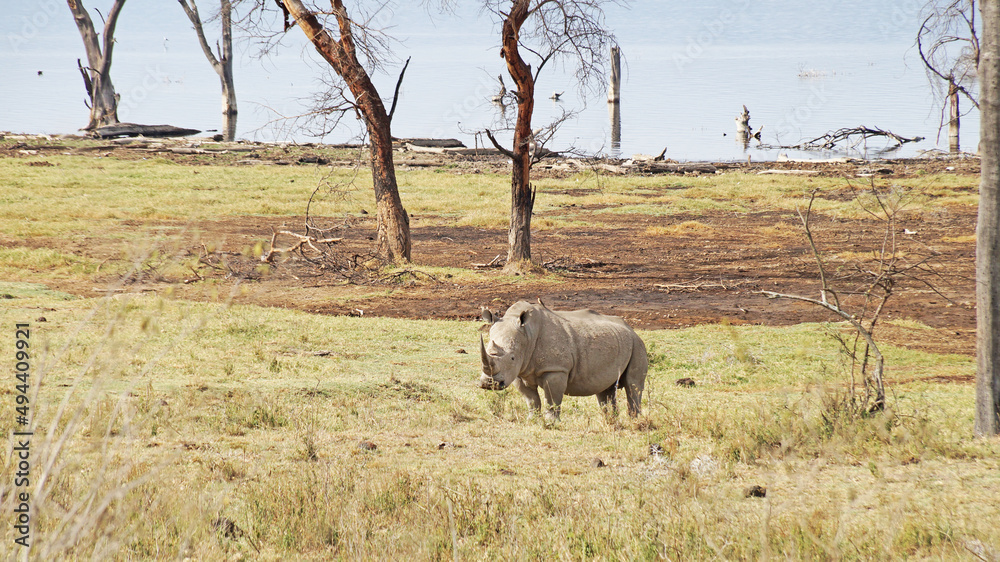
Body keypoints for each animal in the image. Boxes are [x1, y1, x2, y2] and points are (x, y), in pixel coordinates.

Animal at [478, 300, 648, 420]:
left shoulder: (555, 369)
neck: (527, 334)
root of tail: (630, 328)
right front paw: (532, 419)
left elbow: (552, 398)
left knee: (633, 385)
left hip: (637, 344)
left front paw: (550, 422)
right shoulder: (520, 372)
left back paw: (634, 421)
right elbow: (531, 399)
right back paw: (610, 420)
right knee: (605, 389)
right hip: (617, 341)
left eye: (512, 357)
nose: (489, 384)